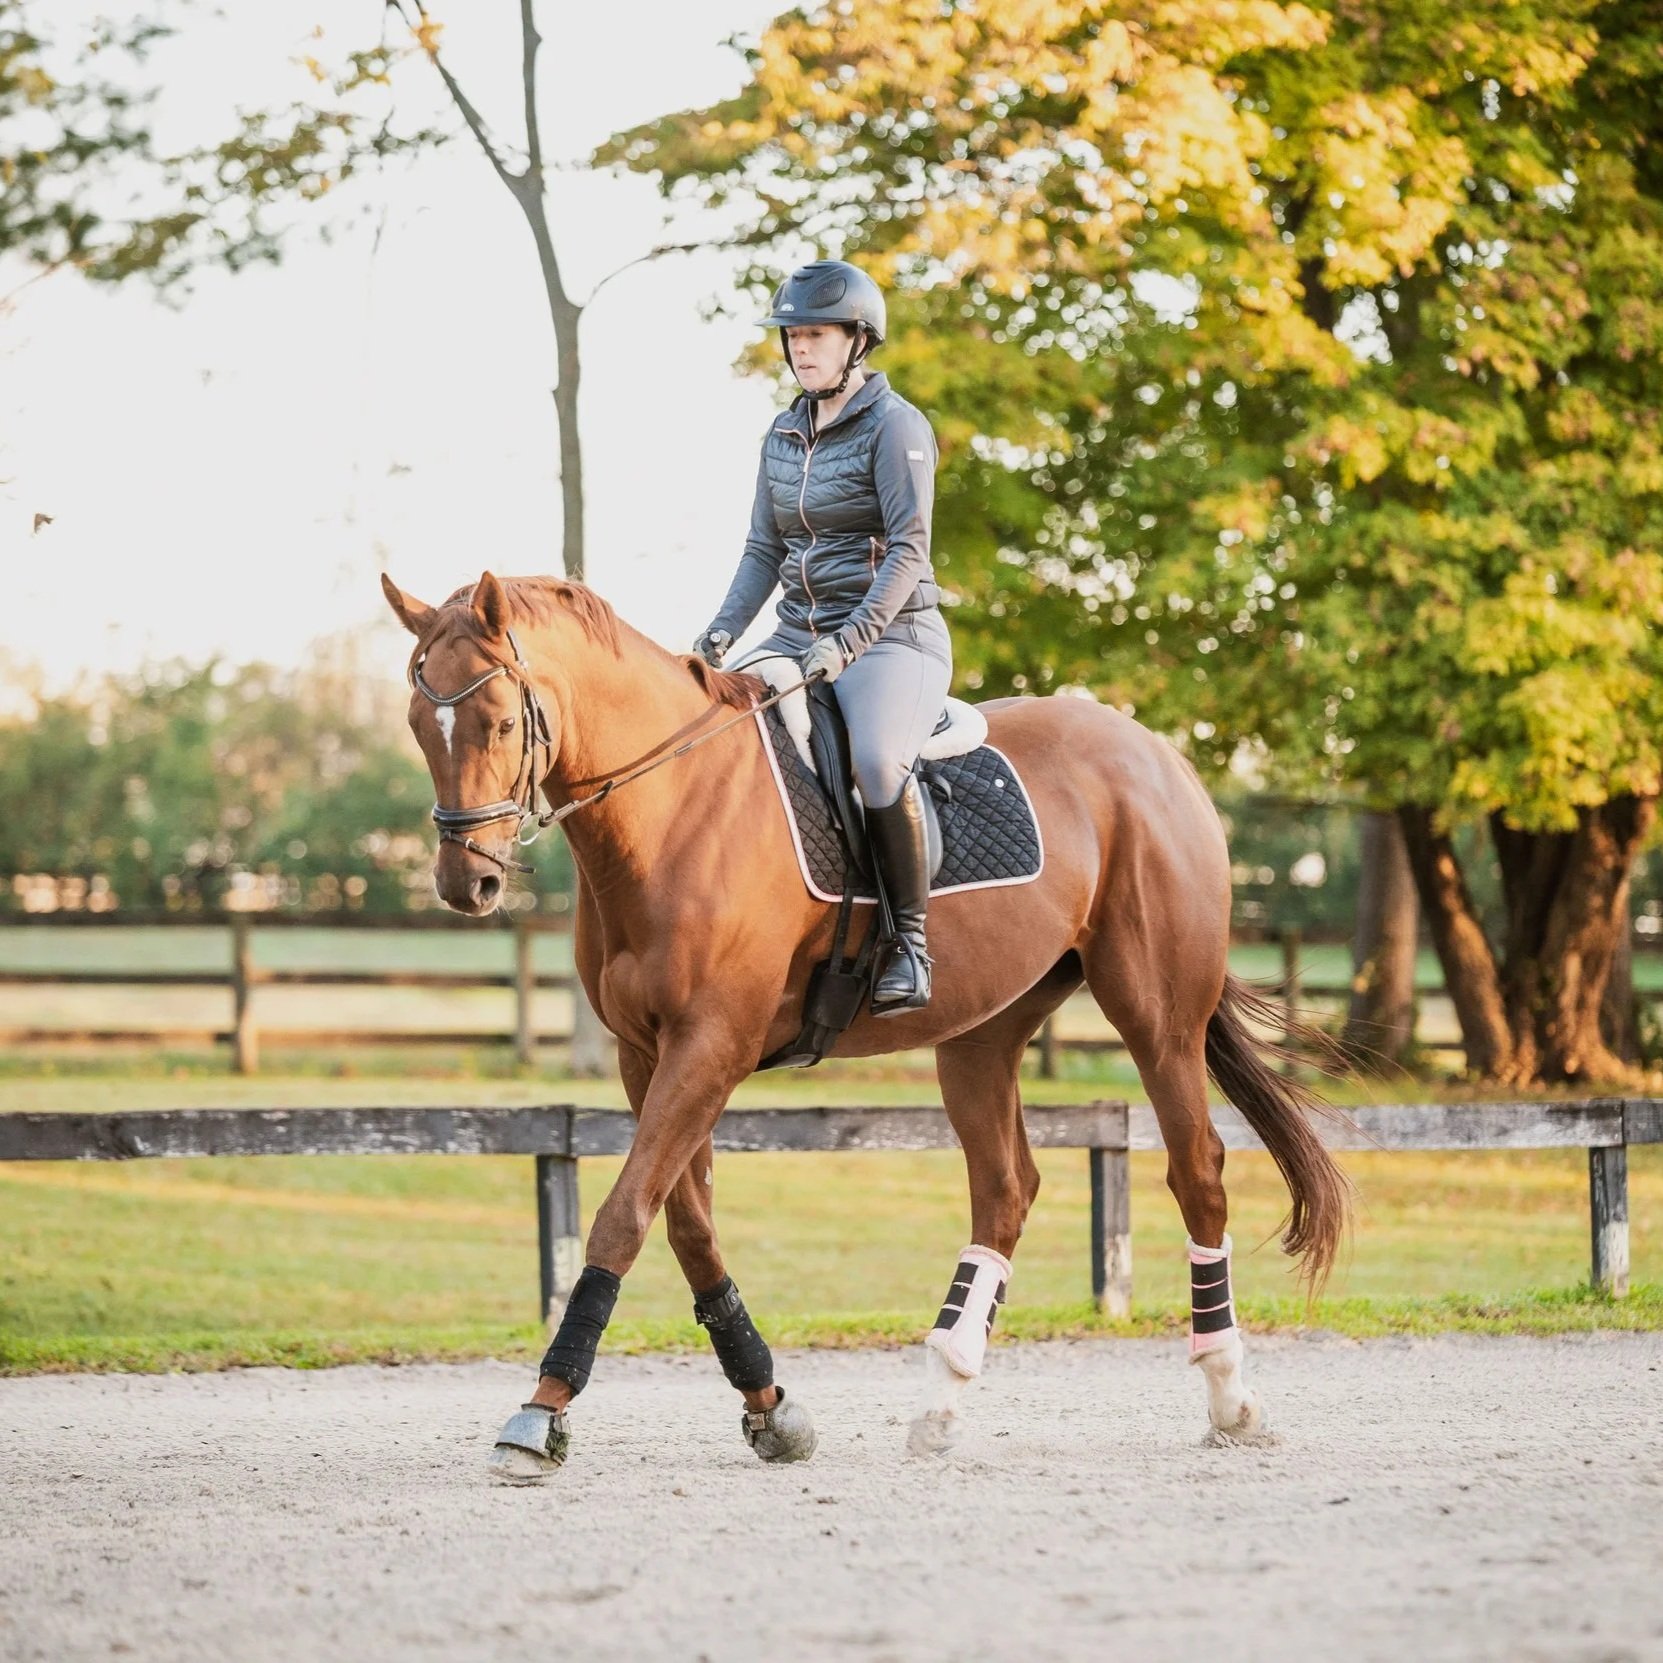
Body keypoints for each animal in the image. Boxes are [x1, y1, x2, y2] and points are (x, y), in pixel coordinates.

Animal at [381, 570, 1350, 1479]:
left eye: (497, 724)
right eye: (419, 723)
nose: (466, 881)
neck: (673, 807)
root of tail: (1156, 753)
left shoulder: (709, 1046)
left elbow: (624, 1216)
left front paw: (540, 1412)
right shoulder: (647, 1055)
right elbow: (687, 1225)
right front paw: (770, 1405)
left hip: (1157, 1018)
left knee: (1197, 1173)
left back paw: (1228, 1397)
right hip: (983, 1031)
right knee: (1005, 1189)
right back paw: (944, 1397)